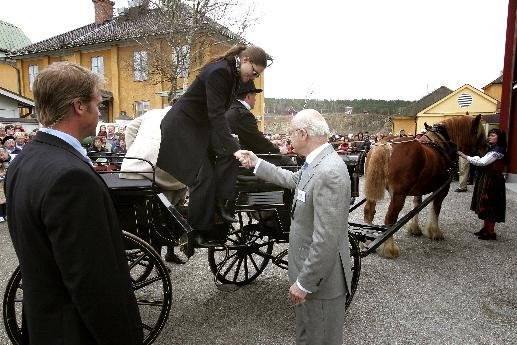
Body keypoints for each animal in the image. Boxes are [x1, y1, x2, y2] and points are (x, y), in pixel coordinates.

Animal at [362, 115, 484, 258]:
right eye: (479, 133)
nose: (485, 149)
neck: (441, 143)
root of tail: (386, 142)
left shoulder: (418, 189)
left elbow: (416, 206)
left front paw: (415, 229)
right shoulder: (443, 189)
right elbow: (436, 209)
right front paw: (435, 232)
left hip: (373, 189)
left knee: (369, 211)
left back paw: (367, 239)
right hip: (398, 195)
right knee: (390, 218)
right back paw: (389, 248)